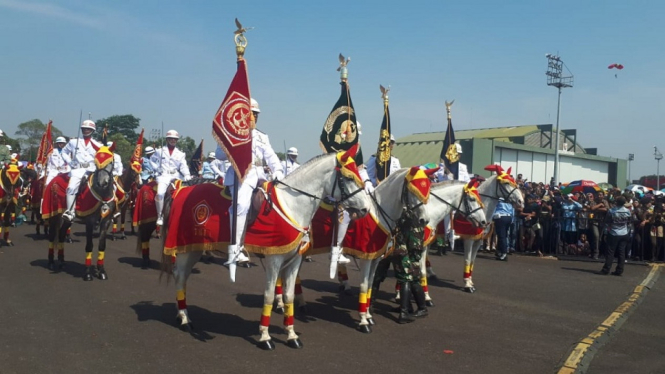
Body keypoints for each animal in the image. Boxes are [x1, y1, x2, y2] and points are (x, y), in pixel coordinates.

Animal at [160, 147, 368, 350]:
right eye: (349, 177)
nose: (365, 209)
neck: (292, 205)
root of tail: (181, 189)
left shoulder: (294, 260)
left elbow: (289, 295)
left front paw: (291, 335)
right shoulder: (273, 261)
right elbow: (268, 296)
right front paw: (265, 336)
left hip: (193, 248)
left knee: (182, 277)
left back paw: (182, 314)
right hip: (185, 248)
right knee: (180, 276)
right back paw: (185, 319)